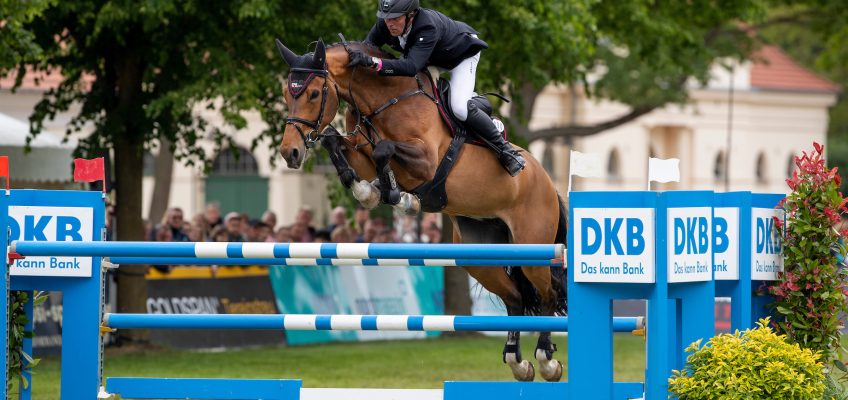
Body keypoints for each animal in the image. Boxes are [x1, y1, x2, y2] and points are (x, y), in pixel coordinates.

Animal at [274, 36, 568, 382]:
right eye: (286, 94)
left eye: (314, 94)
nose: (290, 153)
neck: (383, 101)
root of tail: (547, 181)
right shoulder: (360, 152)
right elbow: (337, 142)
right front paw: (370, 191)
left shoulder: (426, 161)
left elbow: (383, 148)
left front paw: (396, 196)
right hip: (479, 255)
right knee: (515, 297)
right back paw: (517, 362)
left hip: (532, 244)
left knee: (548, 294)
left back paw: (547, 360)